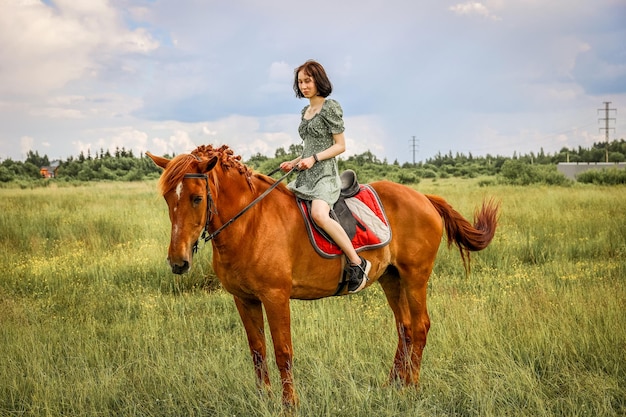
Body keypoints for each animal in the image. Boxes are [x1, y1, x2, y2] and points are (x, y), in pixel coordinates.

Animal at [146, 144, 498, 406]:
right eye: (167, 198)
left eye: (197, 198)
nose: (178, 262)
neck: (251, 222)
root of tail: (424, 198)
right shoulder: (244, 299)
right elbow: (258, 351)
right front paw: (264, 400)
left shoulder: (275, 297)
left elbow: (283, 352)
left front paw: (289, 404)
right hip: (391, 278)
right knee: (406, 328)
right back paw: (392, 385)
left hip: (415, 277)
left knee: (421, 326)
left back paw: (411, 388)